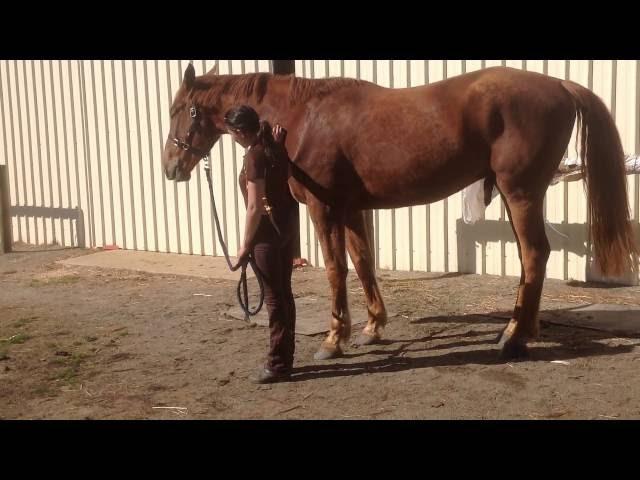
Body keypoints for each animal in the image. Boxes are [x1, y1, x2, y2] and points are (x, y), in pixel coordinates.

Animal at [164, 65, 636, 362]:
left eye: (178, 110)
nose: (171, 168)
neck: (303, 118)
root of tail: (560, 85)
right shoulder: (352, 209)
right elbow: (363, 262)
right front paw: (373, 328)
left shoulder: (322, 208)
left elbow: (335, 269)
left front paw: (334, 339)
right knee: (528, 259)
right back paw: (524, 331)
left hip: (519, 192)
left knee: (535, 255)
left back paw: (512, 339)